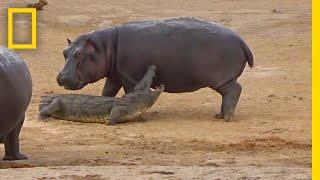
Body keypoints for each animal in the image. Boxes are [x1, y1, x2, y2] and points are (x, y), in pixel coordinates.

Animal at [57, 17, 252, 121]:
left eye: (79, 54)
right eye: (65, 52)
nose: (61, 77)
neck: (105, 47)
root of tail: (242, 41)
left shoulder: (129, 78)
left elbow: (129, 94)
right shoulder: (115, 76)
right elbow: (107, 93)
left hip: (221, 80)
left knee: (234, 90)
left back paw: (226, 118)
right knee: (229, 93)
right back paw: (219, 115)